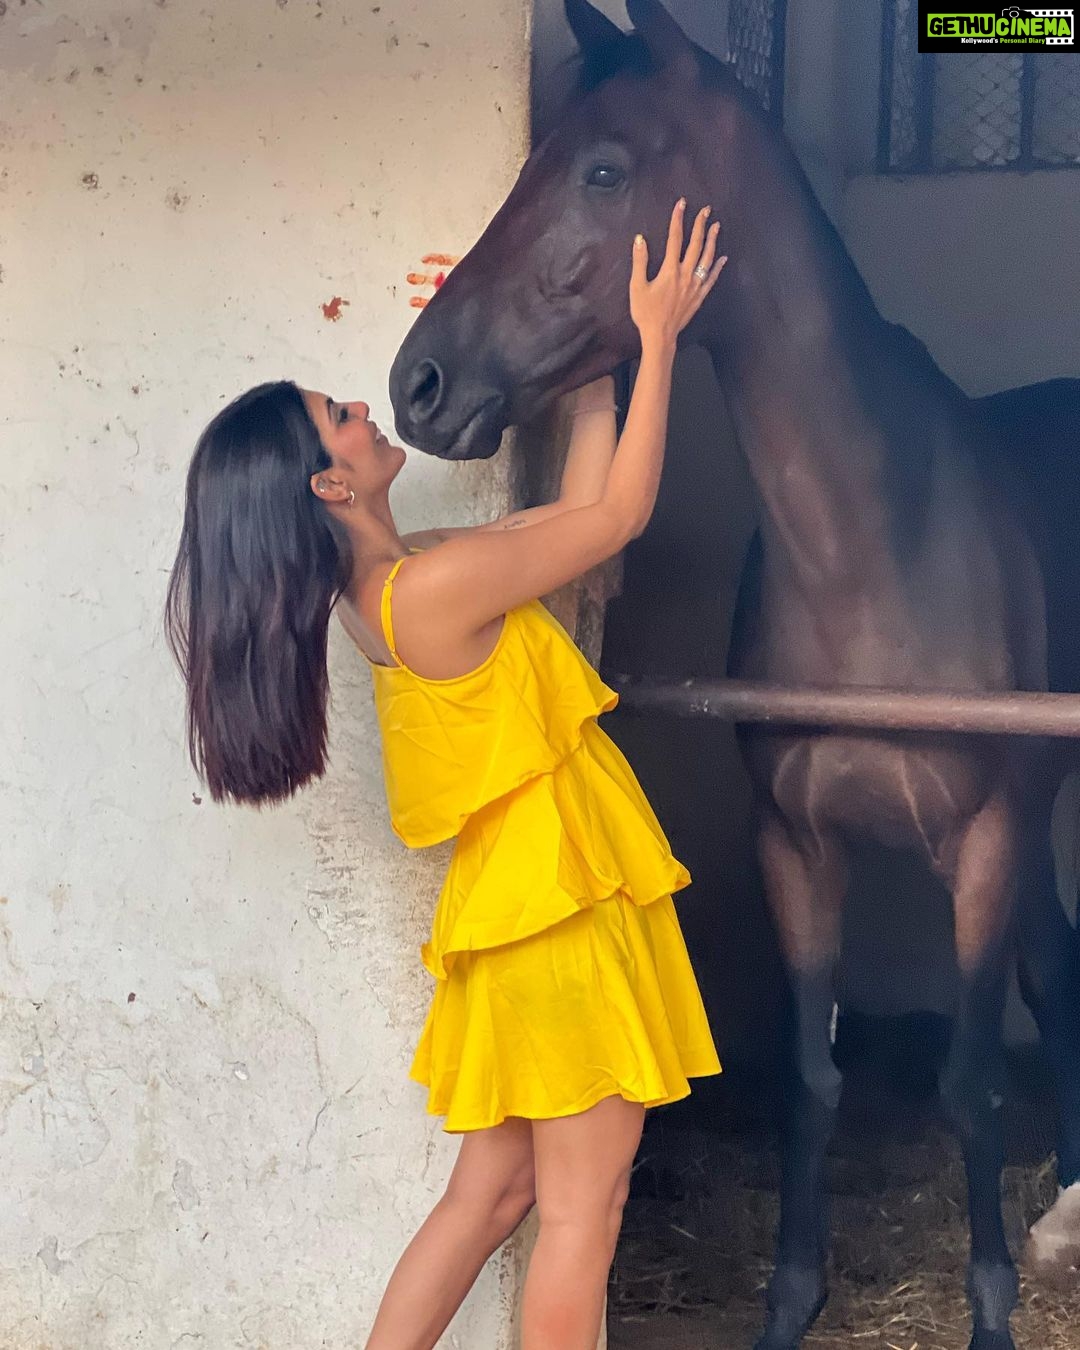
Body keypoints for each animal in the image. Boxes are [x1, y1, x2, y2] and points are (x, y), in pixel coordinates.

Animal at [388, 3, 1080, 1346]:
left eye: (605, 171)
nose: (418, 383)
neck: (876, 552)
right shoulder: (794, 845)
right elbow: (812, 1078)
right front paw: (792, 1302)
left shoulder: (979, 841)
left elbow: (970, 1081)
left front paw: (989, 1311)